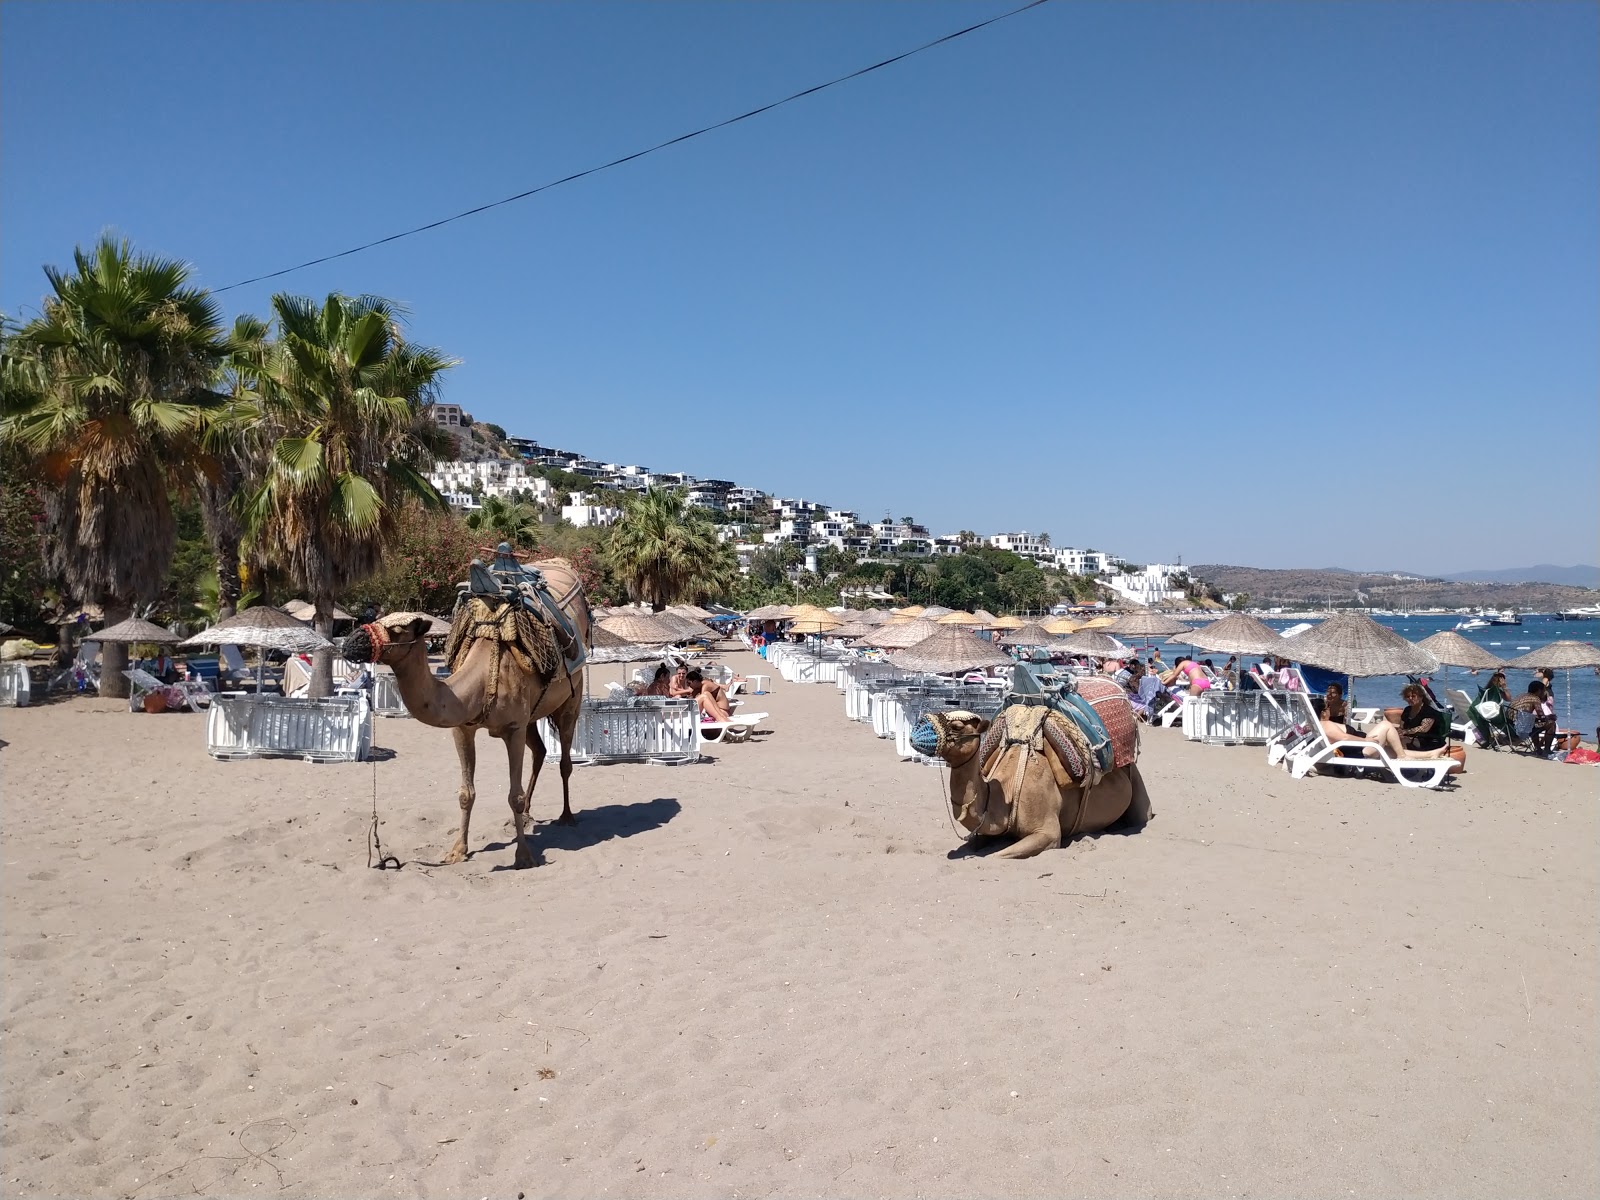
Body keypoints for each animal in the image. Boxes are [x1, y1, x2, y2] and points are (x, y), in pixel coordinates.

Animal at [340, 560, 592, 870]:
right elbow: (465, 793)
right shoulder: (463, 728)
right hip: (533, 713)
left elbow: (514, 794)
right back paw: (526, 816)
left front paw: (523, 856)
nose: (352, 640)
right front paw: (457, 851)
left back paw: (567, 816)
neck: (483, 676)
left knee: (565, 759)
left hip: (571, 699)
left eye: (399, 629)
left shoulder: (513, 728)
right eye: (377, 616)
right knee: (541, 751)